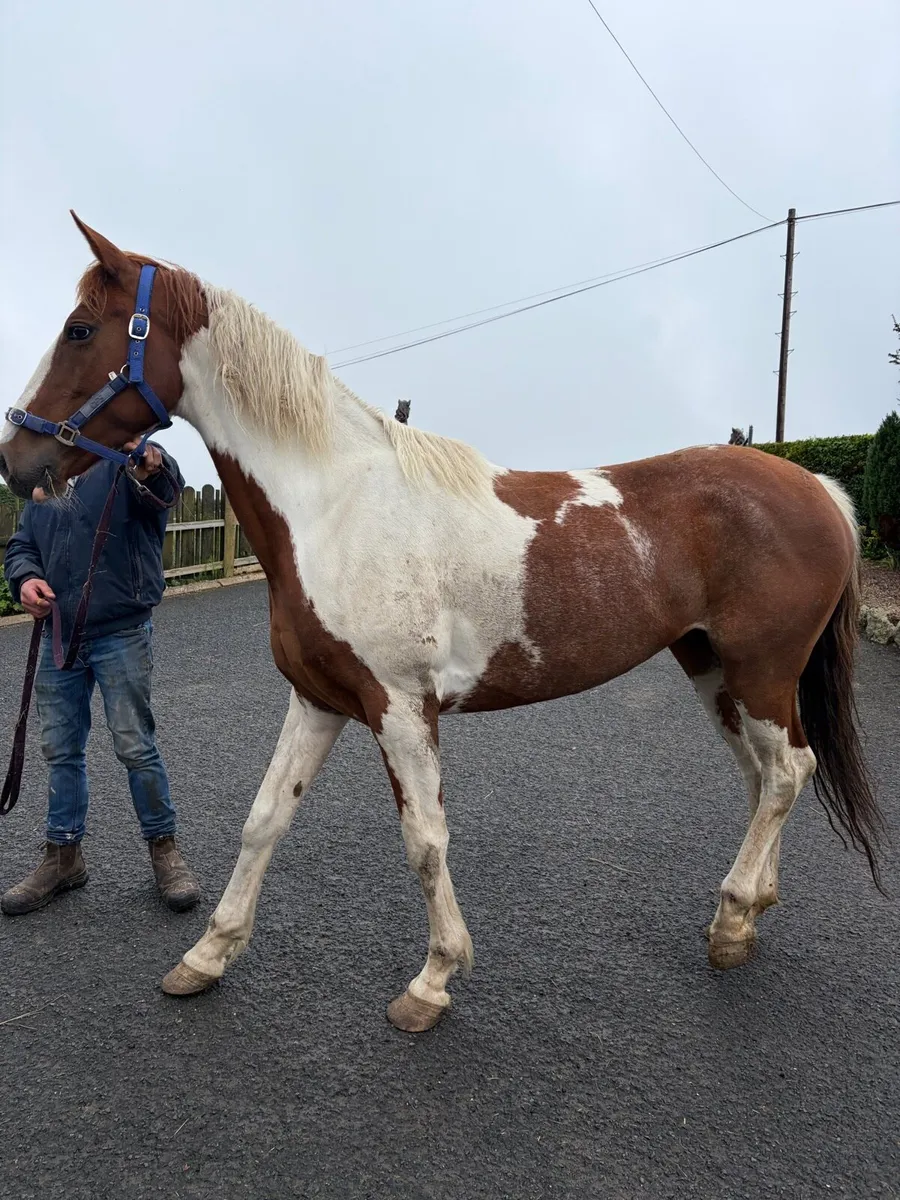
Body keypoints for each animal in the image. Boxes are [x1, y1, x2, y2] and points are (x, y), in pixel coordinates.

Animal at [0, 213, 884, 1033]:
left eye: (81, 330)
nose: (17, 461)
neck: (334, 505)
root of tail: (820, 488)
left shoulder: (400, 708)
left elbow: (424, 841)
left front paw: (432, 980)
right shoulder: (317, 700)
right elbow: (264, 820)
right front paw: (207, 955)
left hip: (760, 669)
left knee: (788, 772)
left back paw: (732, 921)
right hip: (712, 669)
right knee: (764, 776)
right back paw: (752, 911)